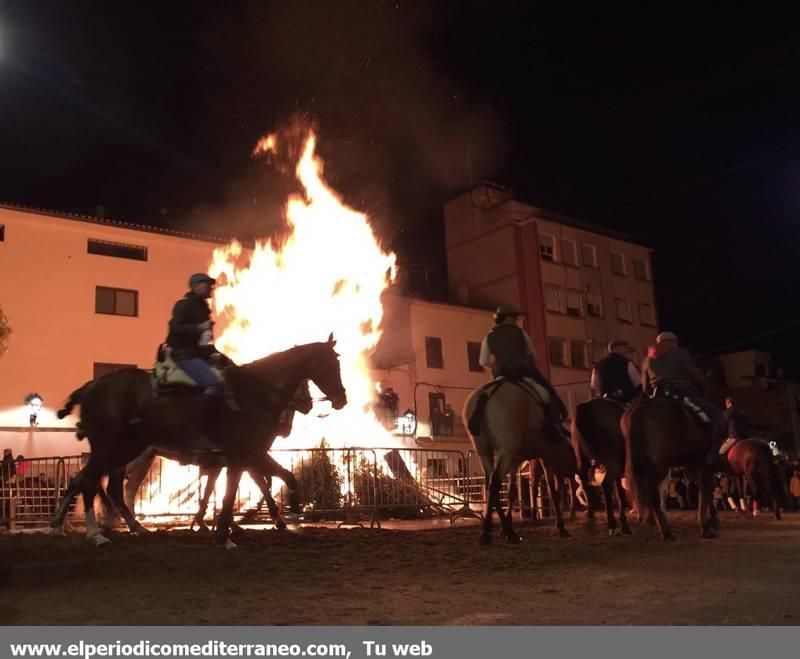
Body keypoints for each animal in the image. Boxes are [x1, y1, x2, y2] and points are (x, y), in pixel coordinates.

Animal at [51, 338, 346, 548]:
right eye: (331, 364)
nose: (341, 398)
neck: (254, 393)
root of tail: (91, 386)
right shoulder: (244, 455)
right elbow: (241, 490)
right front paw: (228, 531)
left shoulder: (245, 456)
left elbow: (278, 479)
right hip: (112, 449)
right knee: (89, 483)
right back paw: (94, 532)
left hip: (126, 451)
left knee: (100, 485)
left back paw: (118, 527)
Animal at [466, 378, 560, 544]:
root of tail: (485, 393)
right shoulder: (545, 454)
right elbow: (551, 487)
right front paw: (561, 527)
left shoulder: (515, 461)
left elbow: (512, 491)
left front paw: (506, 526)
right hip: (505, 452)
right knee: (494, 483)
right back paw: (495, 533)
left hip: (485, 452)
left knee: (490, 483)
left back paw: (500, 531)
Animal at [576, 398, 632, 536]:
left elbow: (621, 493)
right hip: (611, 465)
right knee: (606, 485)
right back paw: (612, 524)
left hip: (583, 460)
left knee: (585, 482)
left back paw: (591, 515)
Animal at [620, 398, 716, 540]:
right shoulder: (705, 465)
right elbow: (705, 492)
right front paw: (707, 527)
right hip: (660, 466)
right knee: (653, 494)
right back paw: (665, 531)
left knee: (649, 493)